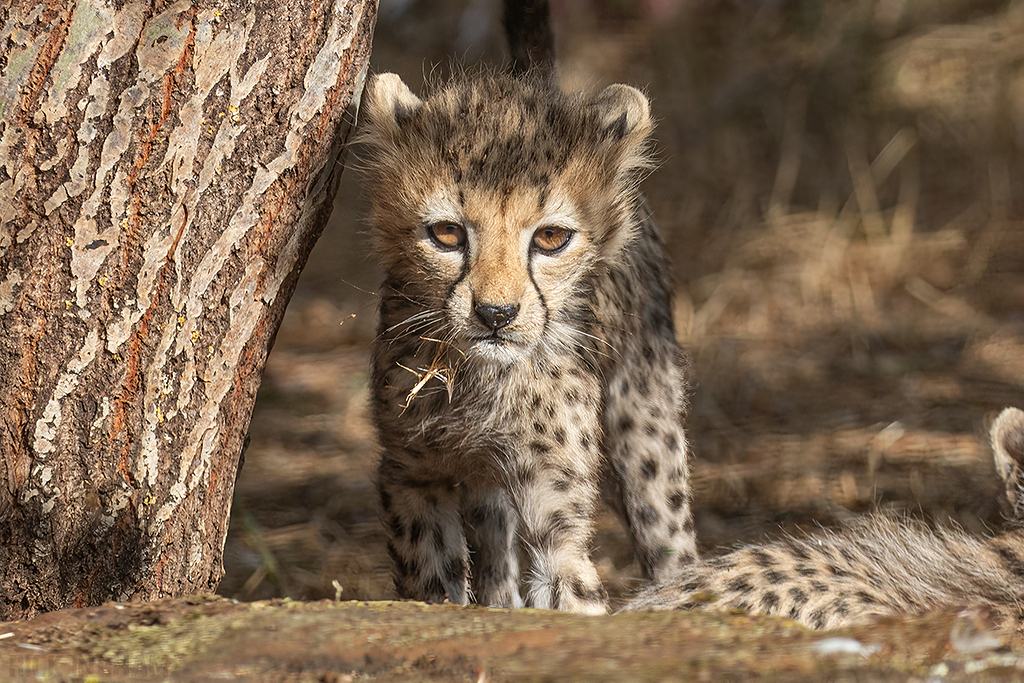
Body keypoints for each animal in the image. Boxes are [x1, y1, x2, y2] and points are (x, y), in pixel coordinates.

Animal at [358, 52, 696, 613]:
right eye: (446, 233)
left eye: (552, 237)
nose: (496, 313)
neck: (486, 382)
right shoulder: (414, 475)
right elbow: (433, 584)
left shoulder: (554, 507)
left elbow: (571, 590)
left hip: (646, 424)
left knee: (670, 536)